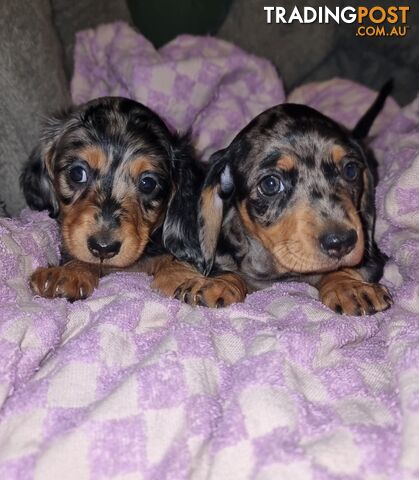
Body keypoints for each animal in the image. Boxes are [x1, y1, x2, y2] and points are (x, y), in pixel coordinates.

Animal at [172, 83, 396, 316]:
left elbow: (344, 269)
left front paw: (349, 286)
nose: (342, 242)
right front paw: (217, 283)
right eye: (270, 184)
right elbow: (231, 272)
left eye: (350, 170)